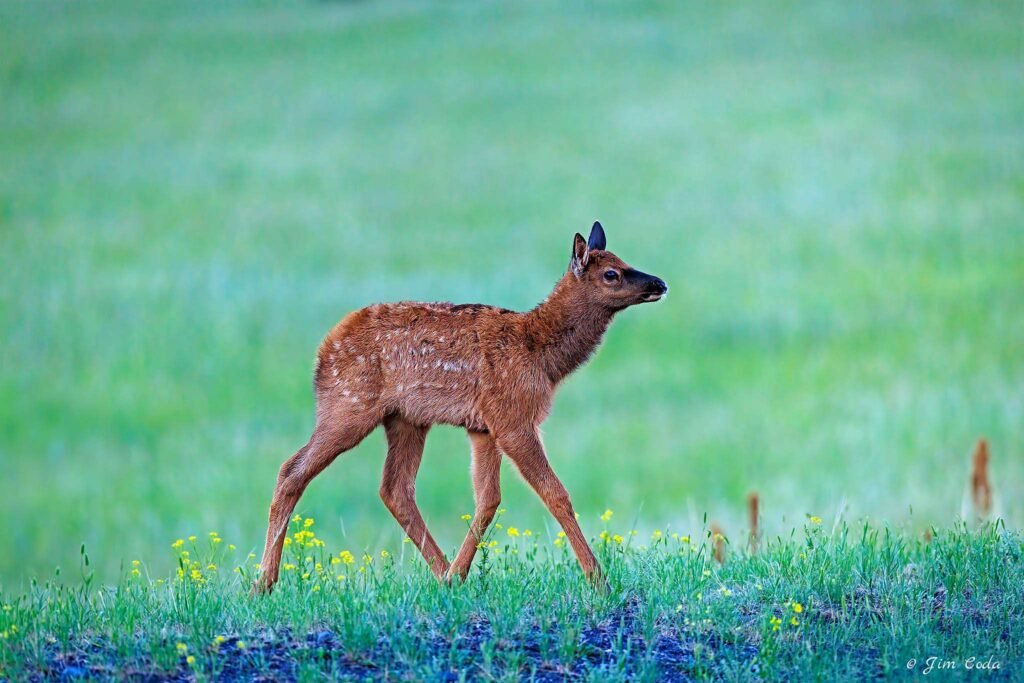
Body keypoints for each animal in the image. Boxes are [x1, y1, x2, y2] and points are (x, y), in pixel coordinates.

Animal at [256, 222, 667, 591]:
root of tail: (323, 352)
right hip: (348, 404)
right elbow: (556, 494)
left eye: (623, 260)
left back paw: (443, 574)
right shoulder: (512, 417)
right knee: (292, 470)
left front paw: (460, 574)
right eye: (612, 274)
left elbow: (488, 498)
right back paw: (263, 582)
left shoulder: (482, 426)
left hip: (405, 419)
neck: (542, 355)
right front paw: (598, 580)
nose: (659, 284)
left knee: (395, 489)